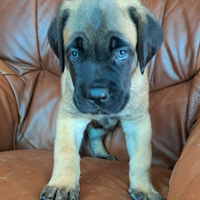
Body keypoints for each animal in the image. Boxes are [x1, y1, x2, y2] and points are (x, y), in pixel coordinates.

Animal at [40, 0, 162, 200]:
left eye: (121, 53)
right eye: (74, 54)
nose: (97, 96)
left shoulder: (137, 122)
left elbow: (142, 158)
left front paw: (144, 188)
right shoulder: (70, 117)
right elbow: (66, 152)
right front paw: (62, 184)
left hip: (107, 124)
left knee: (94, 135)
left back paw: (102, 154)